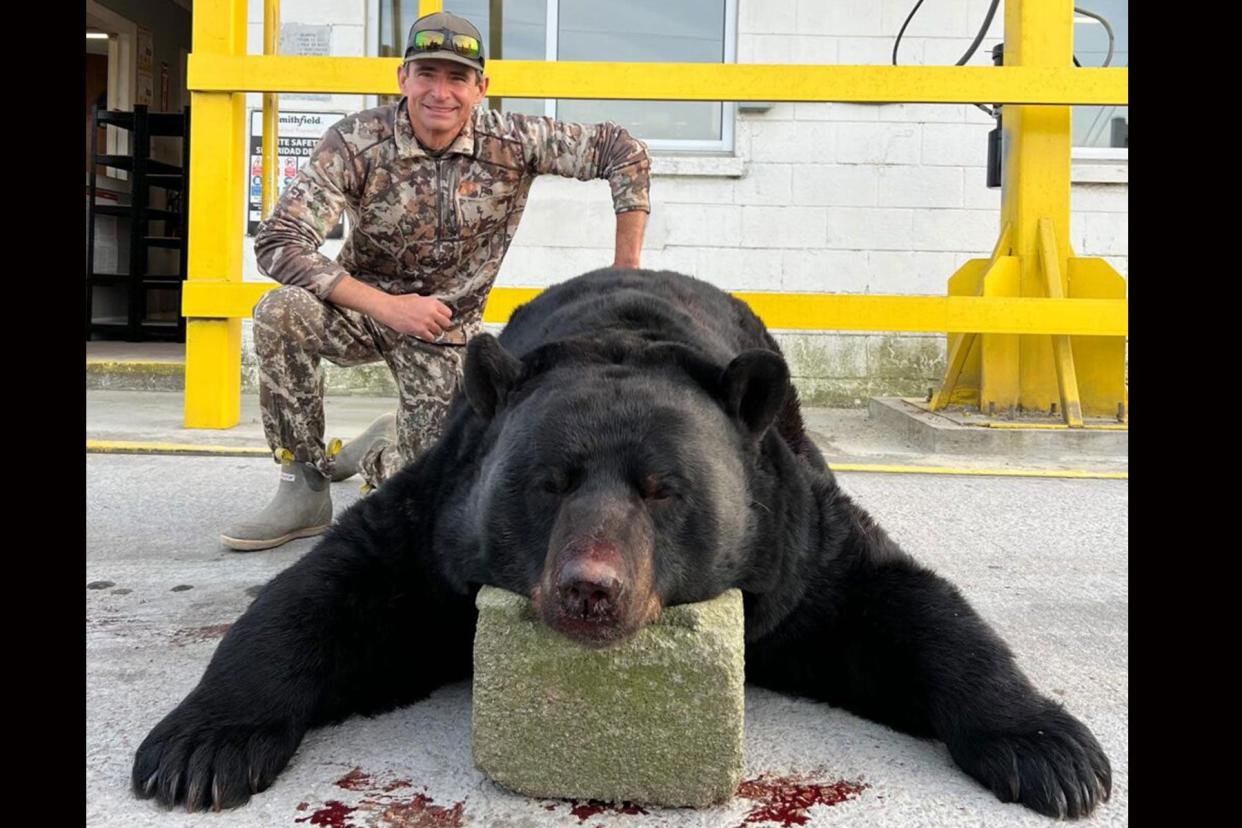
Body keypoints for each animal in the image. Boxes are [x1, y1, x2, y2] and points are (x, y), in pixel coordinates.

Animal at [131, 270, 1112, 814]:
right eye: (550, 481)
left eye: (662, 488)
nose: (589, 587)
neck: (628, 335)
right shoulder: (442, 517)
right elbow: (328, 595)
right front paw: (197, 750)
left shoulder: (795, 541)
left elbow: (906, 606)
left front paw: (1059, 755)